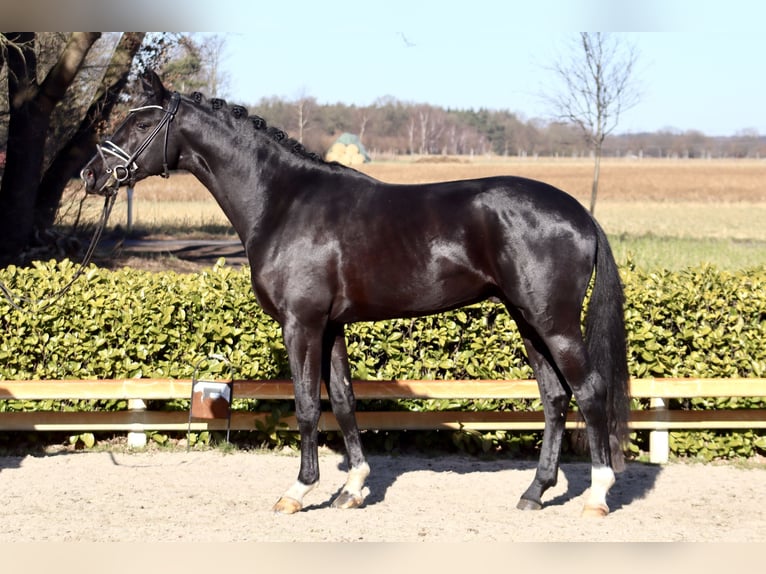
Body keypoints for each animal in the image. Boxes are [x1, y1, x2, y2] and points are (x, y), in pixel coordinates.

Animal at [82, 70, 632, 520]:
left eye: (139, 123)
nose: (90, 174)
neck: (284, 202)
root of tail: (580, 215)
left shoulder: (301, 324)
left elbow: (307, 404)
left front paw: (298, 491)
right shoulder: (331, 326)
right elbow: (344, 401)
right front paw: (352, 488)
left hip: (553, 321)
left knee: (590, 392)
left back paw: (597, 494)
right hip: (527, 319)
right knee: (555, 397)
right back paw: (534, 492)